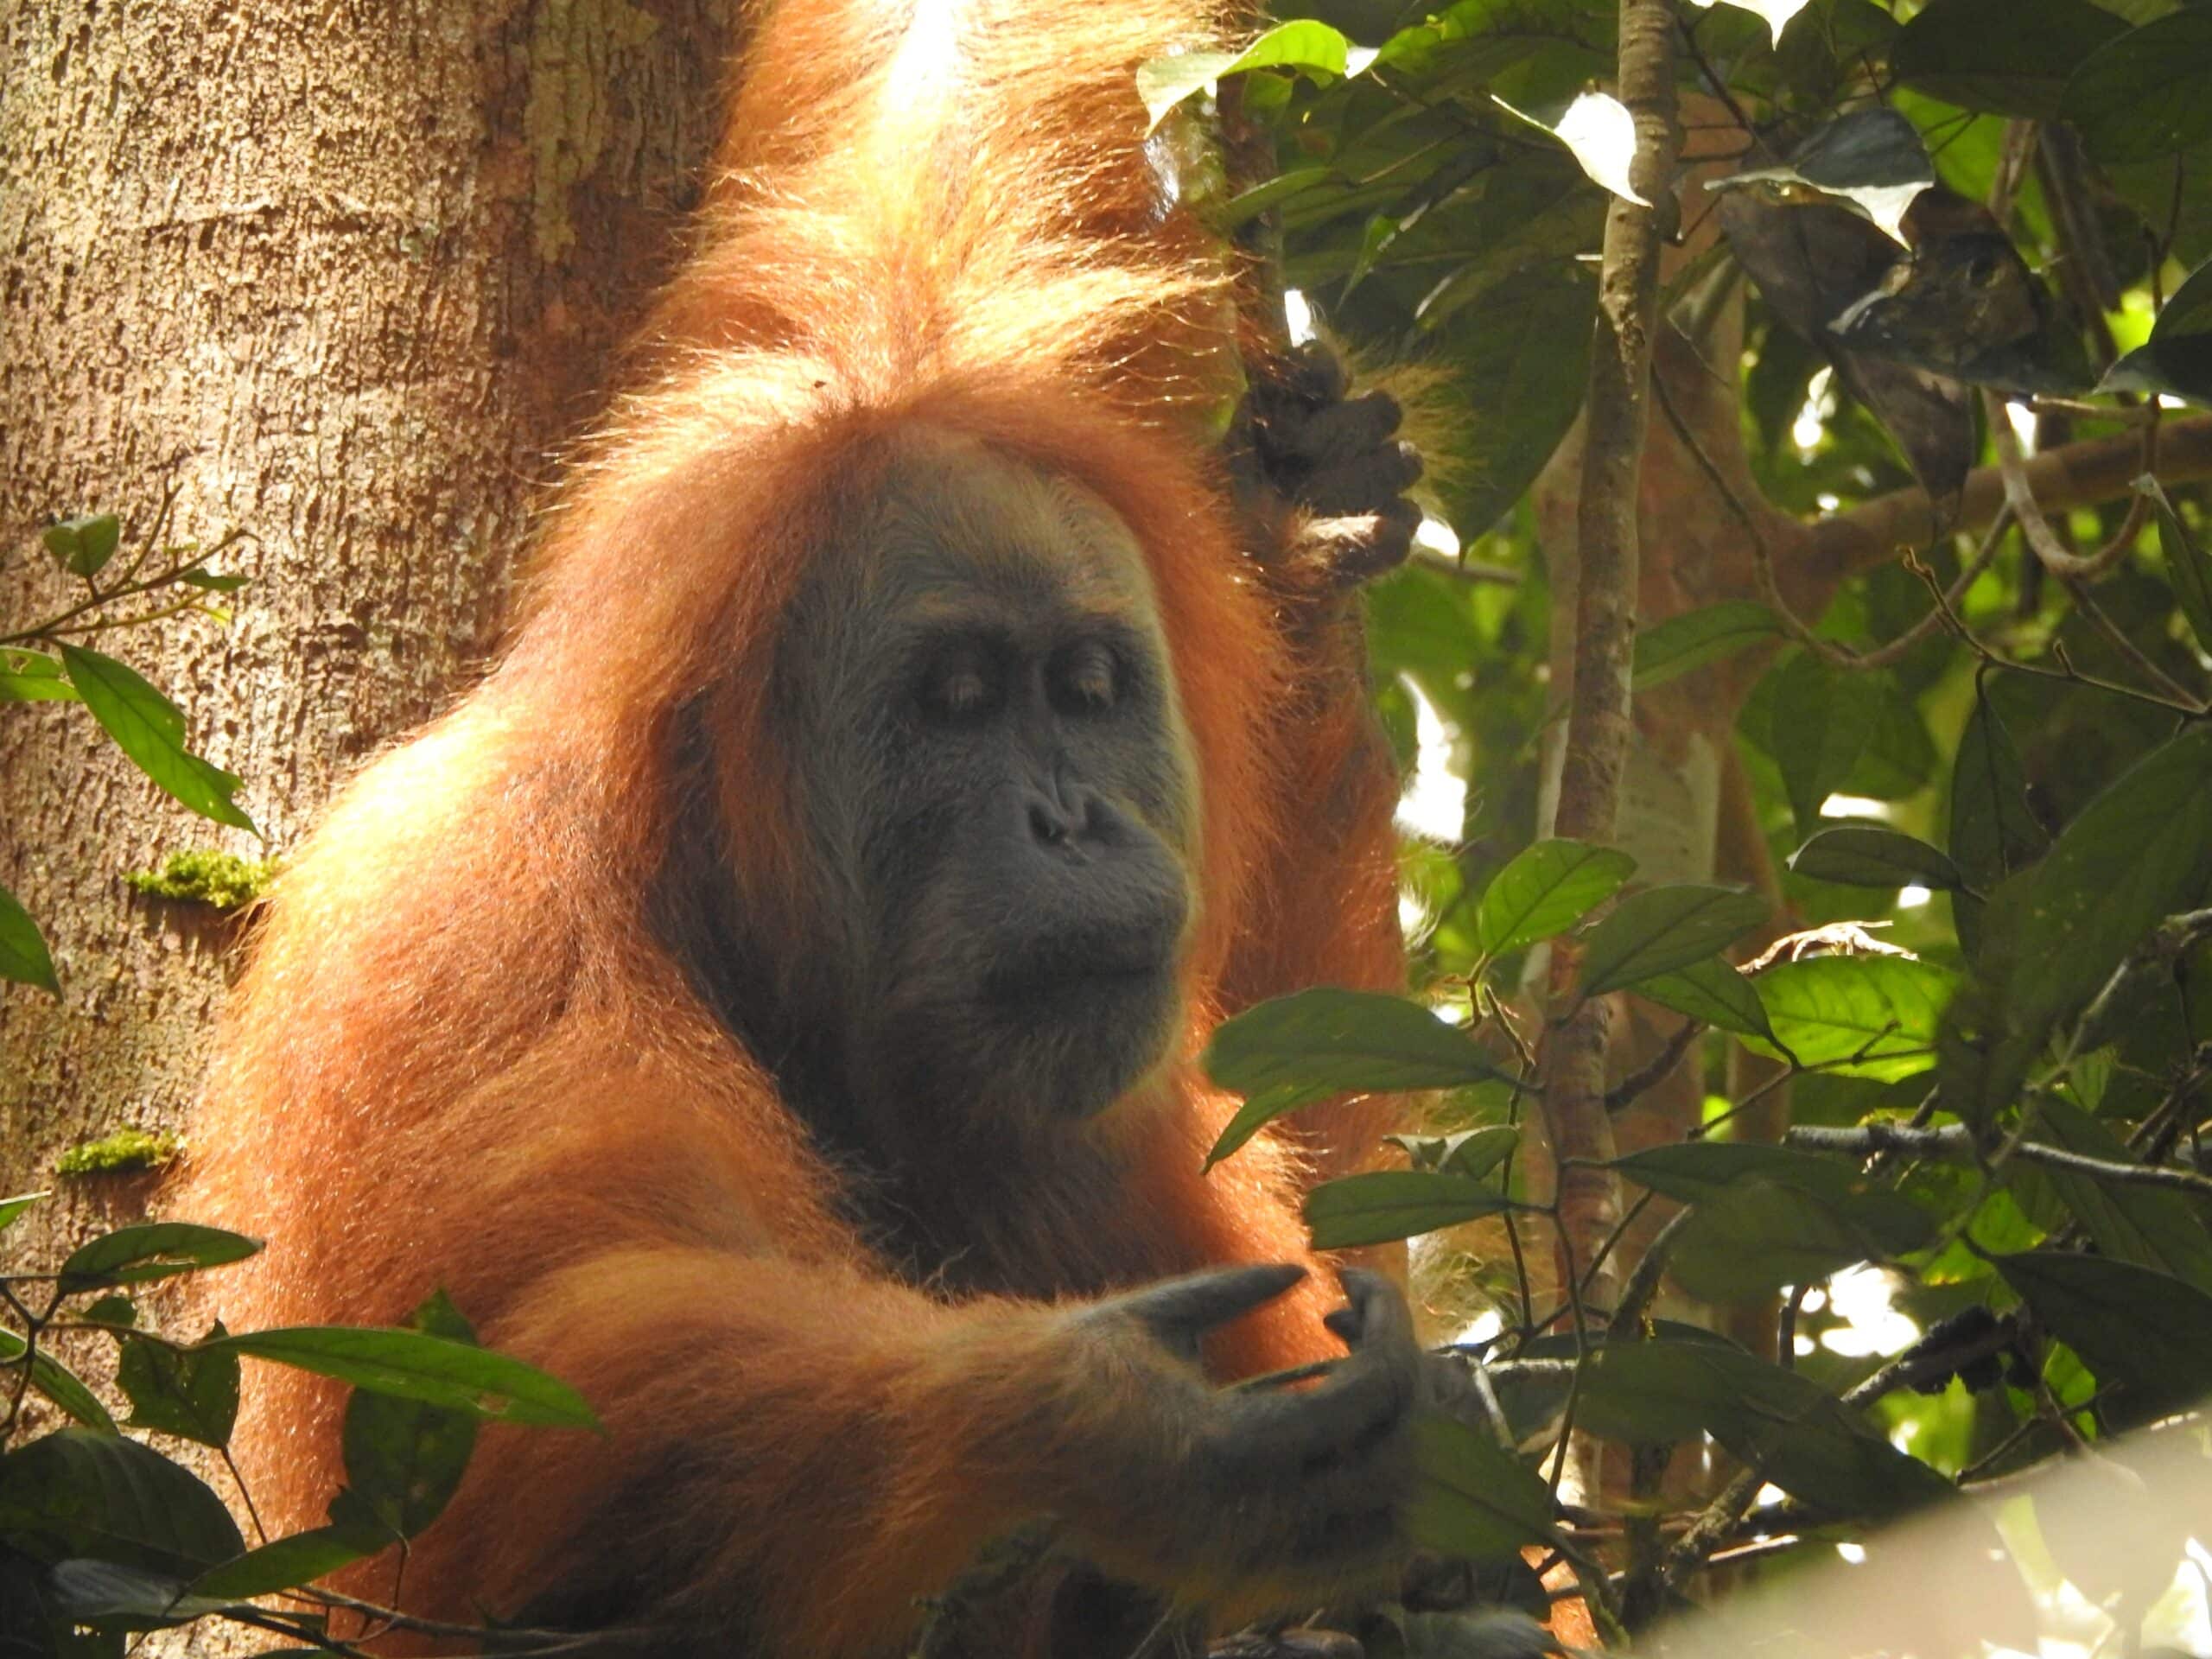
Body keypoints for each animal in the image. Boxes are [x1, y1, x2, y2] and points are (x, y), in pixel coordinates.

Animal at [175, 1, 1430, 1653]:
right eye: (957, 700)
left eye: (1083, 687)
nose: (1070, 819)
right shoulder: (463, 935)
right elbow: (509, 1416)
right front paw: (1088, 1417)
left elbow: (924, 114)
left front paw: (1304, 527)